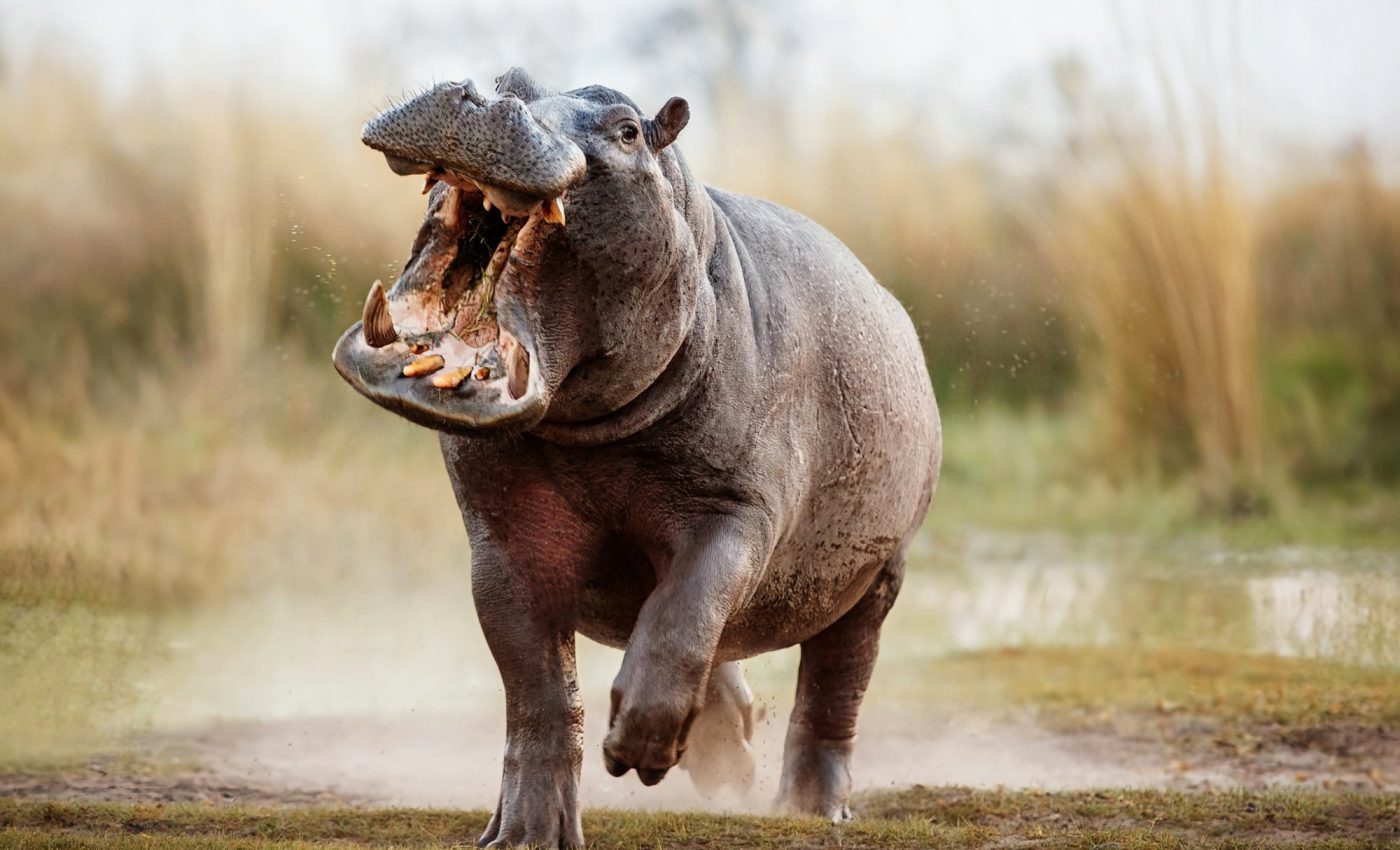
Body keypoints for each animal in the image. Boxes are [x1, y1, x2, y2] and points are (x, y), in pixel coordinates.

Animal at [332, 68, 941, 848]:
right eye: (509, 79)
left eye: (626, 129)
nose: (479, 97)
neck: (589, 431)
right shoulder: (503, 542)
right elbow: (538, 693)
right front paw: (524, 833)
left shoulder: (735, 511)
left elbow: (686, 611)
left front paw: (640, 751)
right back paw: (728, 757)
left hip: (879, 575)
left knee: (834, 685)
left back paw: (811, 807)